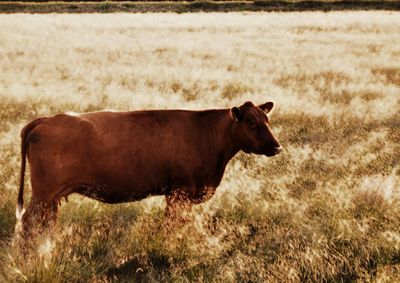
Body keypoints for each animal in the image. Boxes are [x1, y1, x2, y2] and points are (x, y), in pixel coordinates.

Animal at [16, 101, 282, 235]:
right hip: (43, 194)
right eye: (251, 123)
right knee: (29, 222)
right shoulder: (179, 193)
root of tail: (47, 119)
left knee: (46, 221)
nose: (277, 147)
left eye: (267, 120)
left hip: (51, 198)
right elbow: (173, 224)